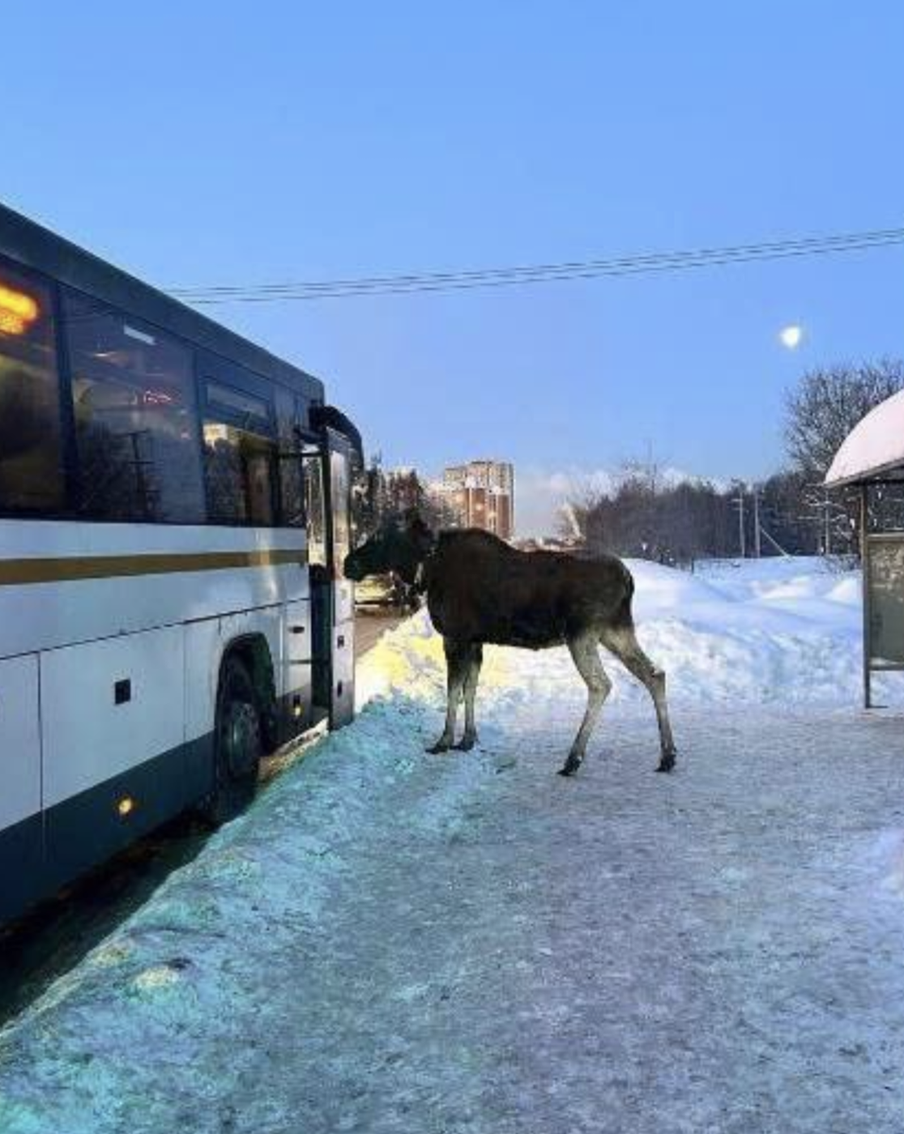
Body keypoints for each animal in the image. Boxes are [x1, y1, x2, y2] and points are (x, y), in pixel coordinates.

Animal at [344, 517, 677, 777]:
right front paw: (468, 739)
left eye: (380, 536)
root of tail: (628, 579)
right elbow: (470, 689)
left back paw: (573, 759)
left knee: (601, 685)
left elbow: (452, 691)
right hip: (615, 630)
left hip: (582, 634)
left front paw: (444, 741)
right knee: (654, 674)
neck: (427, 570)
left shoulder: (455, 636)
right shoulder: (475, 641)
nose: (348, 563)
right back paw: (667, 755)